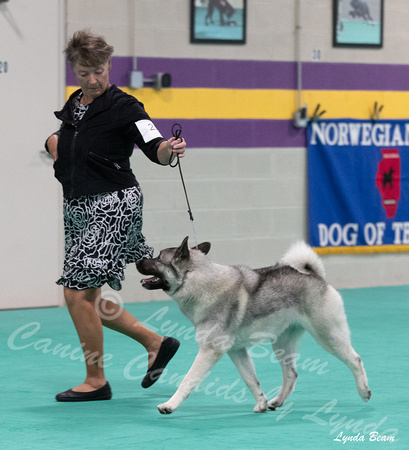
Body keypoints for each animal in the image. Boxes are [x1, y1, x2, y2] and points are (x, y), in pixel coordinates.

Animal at [137, 237, 370, 414]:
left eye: (158, 258)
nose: (138, 260)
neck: (196, 278)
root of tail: (314, 276)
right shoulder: (237, 351)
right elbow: (250, 379)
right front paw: (261, 403)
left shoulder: (209, 351)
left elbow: (188, 380)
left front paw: (169, 405)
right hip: (282, 345)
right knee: (291, 374)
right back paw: (276, 401)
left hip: (328, 336)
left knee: (355, 360)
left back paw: (364, 391)